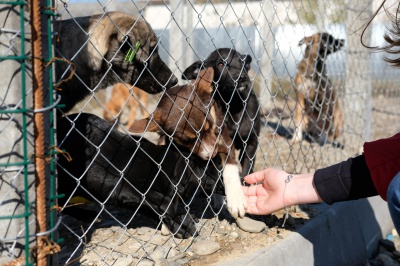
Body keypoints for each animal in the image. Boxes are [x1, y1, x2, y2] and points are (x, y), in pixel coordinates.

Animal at [56, 113, 225, 238]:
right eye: (218, 168)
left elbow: (155, 208)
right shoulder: (124, 188)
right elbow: (165, 202)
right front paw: (183, 226)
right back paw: (88, 216)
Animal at [130, 67, 247, 219]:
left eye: (210, 125)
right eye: (188, 140)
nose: (212, 154)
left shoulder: (224, 141)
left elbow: (230, 169)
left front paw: (236, 200)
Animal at [182, 48, 262, 177]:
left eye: (242, 62)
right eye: (220, 64)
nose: (242, 78)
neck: (233, 105)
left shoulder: (251, 143)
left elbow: (247, 171)